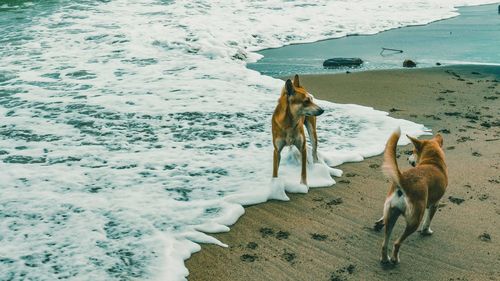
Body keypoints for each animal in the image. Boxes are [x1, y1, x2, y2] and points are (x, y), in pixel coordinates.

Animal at [376, 128, 450, 264]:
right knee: (397, 243)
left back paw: (385, 259)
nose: (408, 159)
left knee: (385, 243)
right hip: (415, 219)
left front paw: (379, 222)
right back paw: (394, 259)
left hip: (391, 213)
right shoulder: (435, 204)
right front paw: (426, 231)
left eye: (413, 151)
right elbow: (428, 220)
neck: (433, 161)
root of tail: (403, 180)